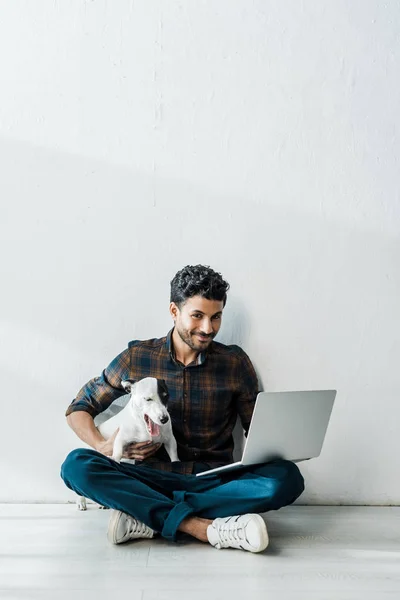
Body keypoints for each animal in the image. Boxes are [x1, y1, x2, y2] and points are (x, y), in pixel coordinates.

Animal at [76, 376, 178, 510]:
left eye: (166, 396)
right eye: (148, 399)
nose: (164, 419)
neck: (144, 427)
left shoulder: (170, 440)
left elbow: (174, 456)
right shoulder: (120, 438)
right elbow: (118, 452)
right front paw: (114, 460)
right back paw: (81, 502)